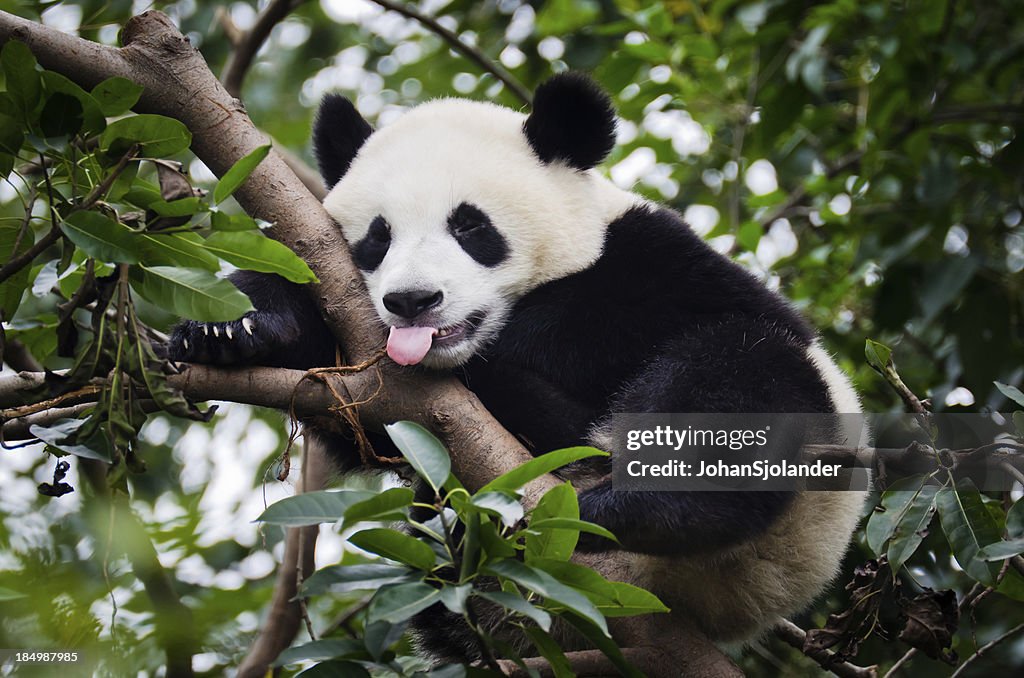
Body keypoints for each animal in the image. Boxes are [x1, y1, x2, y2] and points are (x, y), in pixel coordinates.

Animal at [167, 75, 864, 663]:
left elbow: (631, 311)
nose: (413, 301)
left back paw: (631, 505)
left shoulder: (653, 258)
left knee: (742, 373)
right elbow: (347, 407)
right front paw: (228, 331)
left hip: (792, 517)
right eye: (377, 237)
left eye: (471, 226)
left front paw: (515, 348)